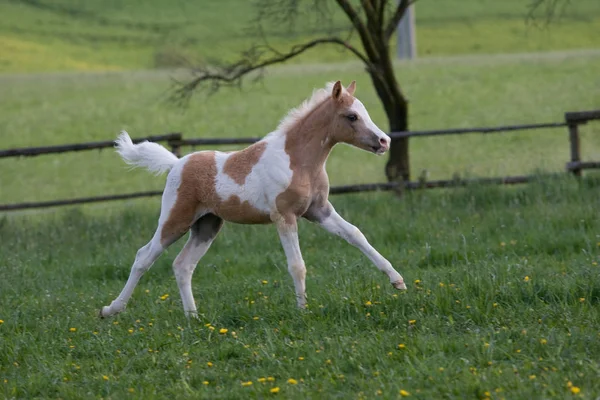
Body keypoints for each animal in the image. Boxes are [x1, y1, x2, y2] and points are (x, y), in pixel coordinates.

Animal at [101, 80, 406, 318]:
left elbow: (356, 234)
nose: (384, 141)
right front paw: (302, 311)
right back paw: (111, 309)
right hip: (176, 219)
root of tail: (177, 164)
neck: (298, 160)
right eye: (352, 116)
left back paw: (193, 317)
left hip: (207, 225)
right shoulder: (284, 216)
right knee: (144, 256)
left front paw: (398, 281)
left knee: (183, 265)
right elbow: (297, 265)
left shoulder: (319, 210)